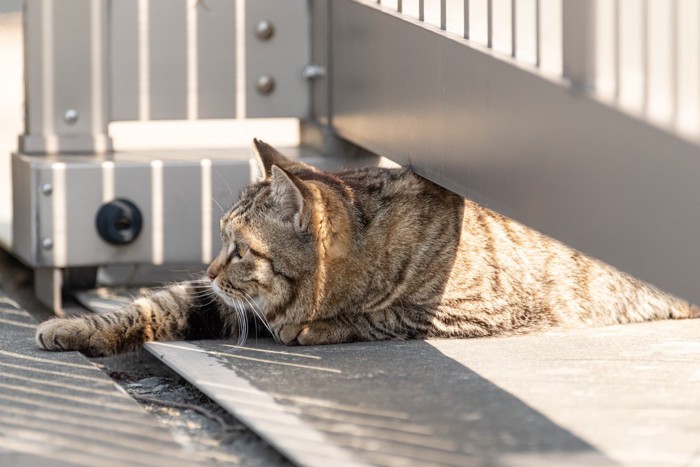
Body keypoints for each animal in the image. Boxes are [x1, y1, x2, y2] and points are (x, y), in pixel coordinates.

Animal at [34, 139, 700, 358]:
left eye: (240, 249)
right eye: (221, 238)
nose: (210, 265)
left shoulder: (486, 309)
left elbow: (388, 315)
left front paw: (318, 327)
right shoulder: (220, 301)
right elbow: (155, 305)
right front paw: (72, 326)